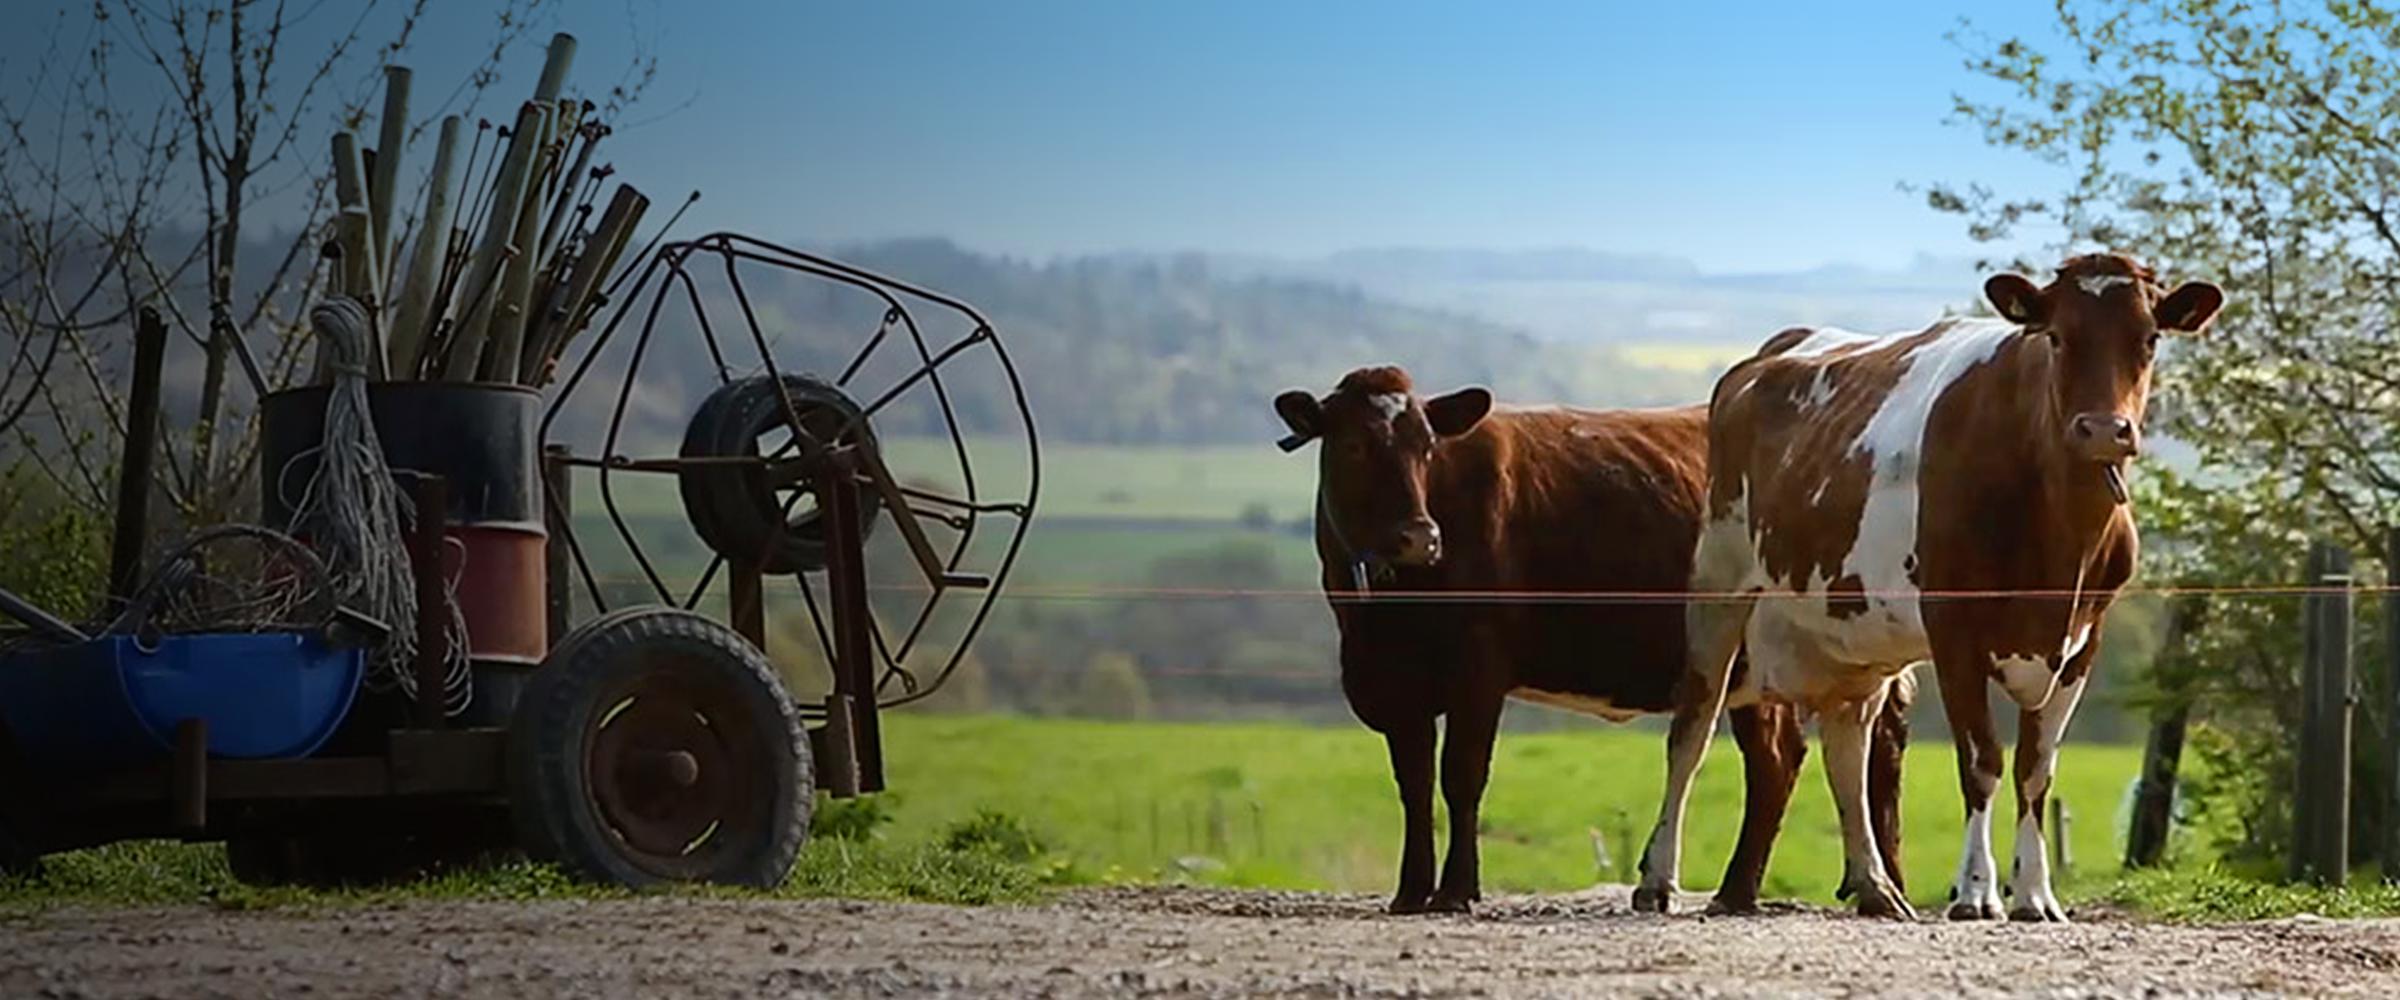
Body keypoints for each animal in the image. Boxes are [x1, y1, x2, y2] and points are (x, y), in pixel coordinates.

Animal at [1276, 364, 1910, 911]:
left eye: (1427, 449)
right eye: (1353, 447)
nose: (1419, 537)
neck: (1385, 613)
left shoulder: (1478, 667)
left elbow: (1462, 776)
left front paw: (1457, 890)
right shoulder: (1393, 683)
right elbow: (1413, 784)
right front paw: (1411, 893)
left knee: (1817, 755)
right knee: (1779, 760)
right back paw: (1739, 893)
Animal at [1632, 252, 2227, 916]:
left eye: (2149, 339)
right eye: (2056, 336)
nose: (2102, 430)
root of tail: (1773, 351)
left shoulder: (2082, 642)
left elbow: (2036, 769)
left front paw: (2036, 894)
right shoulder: (1954, 629)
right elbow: (1981, 762)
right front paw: (1977, 891)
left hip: (1855, 631)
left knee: (1848, 745)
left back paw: (1875, 886)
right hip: (1720, 578)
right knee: (1692, 729)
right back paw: (1657, 879)